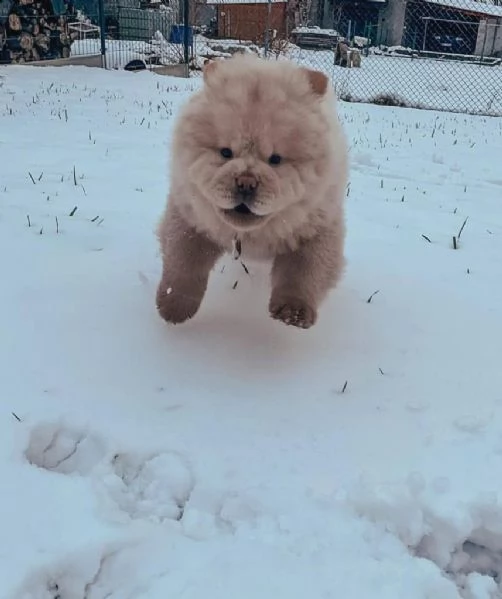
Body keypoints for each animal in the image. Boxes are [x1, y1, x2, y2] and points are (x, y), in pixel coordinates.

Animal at [155, 54, 348, 330]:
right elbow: (183, 260)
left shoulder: (316, 227)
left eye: (276, 159)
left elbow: (304, 271)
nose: (246, 182)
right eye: (225, 152)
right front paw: (174, 307)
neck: (252, 235)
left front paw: (293, 312)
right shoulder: (191, 217)